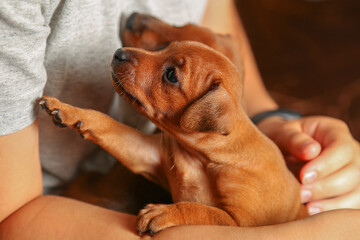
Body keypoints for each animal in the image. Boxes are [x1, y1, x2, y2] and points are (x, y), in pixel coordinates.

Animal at [40, 38, 306, 234]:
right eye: (164, 48)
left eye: (171, 75)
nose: (118, 53)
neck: (201, 156)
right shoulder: (147, 154)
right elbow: (109, 125)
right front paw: (68, 110)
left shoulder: (241, 222)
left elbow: (202, 211)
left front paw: (164, 212)